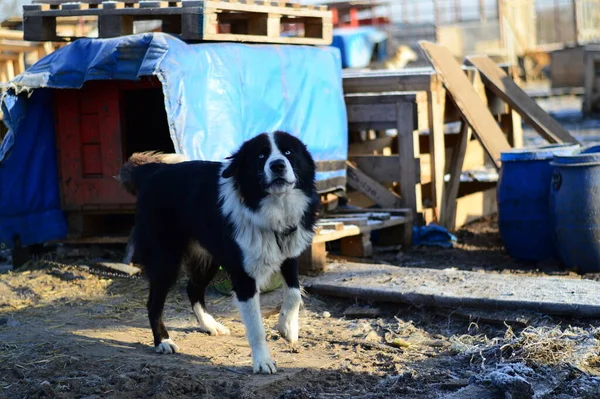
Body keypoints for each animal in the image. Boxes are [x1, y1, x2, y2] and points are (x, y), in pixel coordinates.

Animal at [116, 131, 318, 376]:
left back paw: (209, 324)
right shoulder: (243, 276)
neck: (271, 209)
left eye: (288, 152)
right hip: (166, 260)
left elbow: (295, 292)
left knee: (192, 288)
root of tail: (153, 171)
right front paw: (262, 361)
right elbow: (256, 326)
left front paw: (287, 327)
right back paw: (163, 341)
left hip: (209, 258)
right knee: (154, 302)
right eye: (261, 156)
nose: (278, 165)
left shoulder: (289, 256)